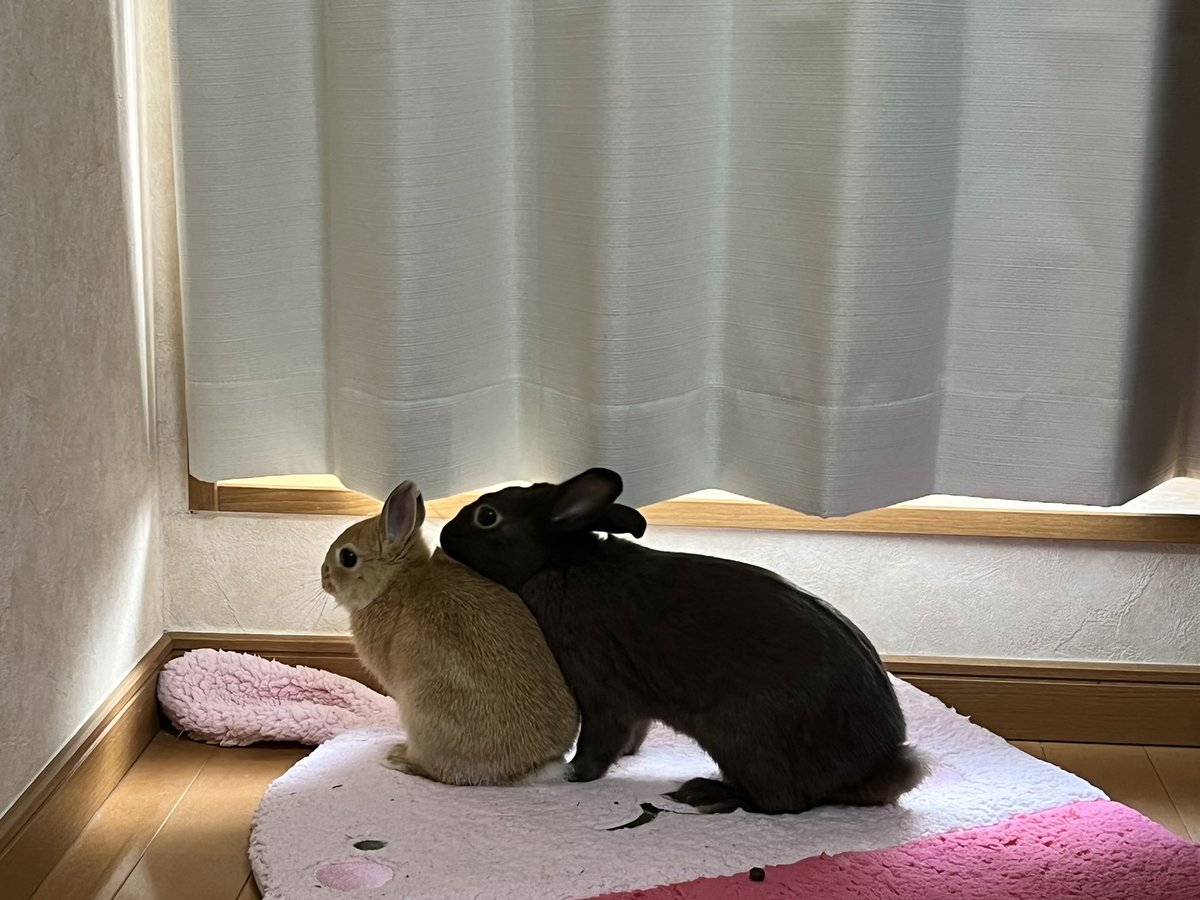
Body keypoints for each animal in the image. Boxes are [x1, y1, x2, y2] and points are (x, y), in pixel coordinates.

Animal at [321, 479, 580, 786]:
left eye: (348, 557)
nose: (324, 576)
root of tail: (531, 767)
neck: (393, 583)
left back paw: (398, 758)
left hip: (422, 711)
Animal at [439, 467, 928, 813]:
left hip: (743, 739)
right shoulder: (630, 706)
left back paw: (706, 793)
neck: (555, 563)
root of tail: (881, 764)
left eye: (487, 517)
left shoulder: (601, 692)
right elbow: (632, 734)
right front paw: (627, 756)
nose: (444, 536)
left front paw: (574, 774)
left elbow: (599, 742)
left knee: (782, 803)